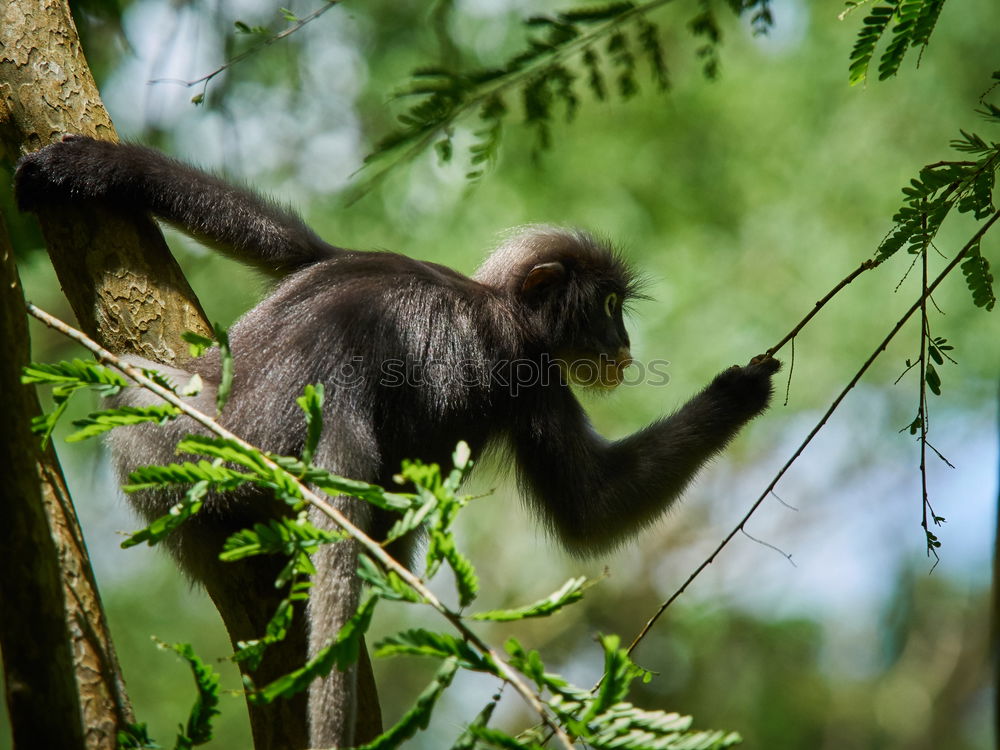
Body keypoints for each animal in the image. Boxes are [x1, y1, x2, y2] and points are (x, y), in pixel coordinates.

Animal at [13, 137, 780, 750]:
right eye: (609, 308)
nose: (624, 345)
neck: (492, 301)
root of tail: (337, 390)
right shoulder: (528, 371)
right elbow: (587, 508)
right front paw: (737, 393)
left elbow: (290, 244)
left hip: (184, 440)